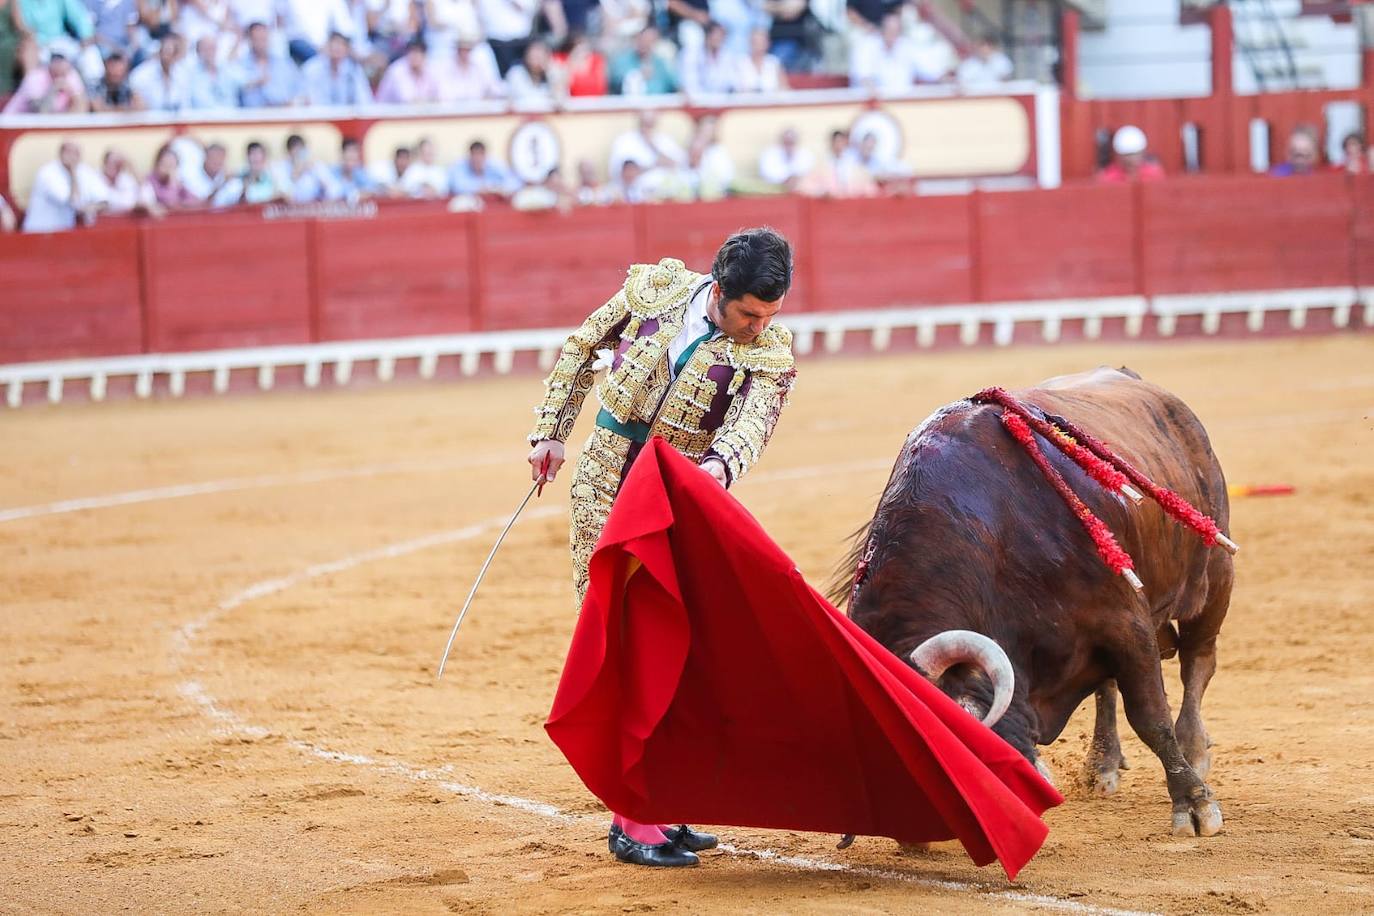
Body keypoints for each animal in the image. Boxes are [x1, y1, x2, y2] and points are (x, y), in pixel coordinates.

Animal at [835, 368, 1236, 840]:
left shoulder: (1126, 625)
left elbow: (1150, 716)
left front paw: (1194, 804)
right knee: (1108, 686)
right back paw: (1102, 763)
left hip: (1214, 577)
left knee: (1197, 661)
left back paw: (1193, 749)